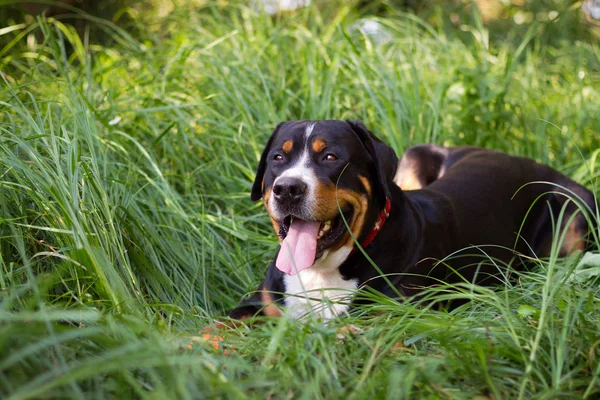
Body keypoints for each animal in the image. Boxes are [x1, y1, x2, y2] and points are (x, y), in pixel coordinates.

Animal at [229, 120, 596, 320]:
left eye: (331, 157)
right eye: (278, 157)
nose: (288, 188)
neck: (324, 270)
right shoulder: (263, 304)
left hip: (575, 206)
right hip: (415, 156)